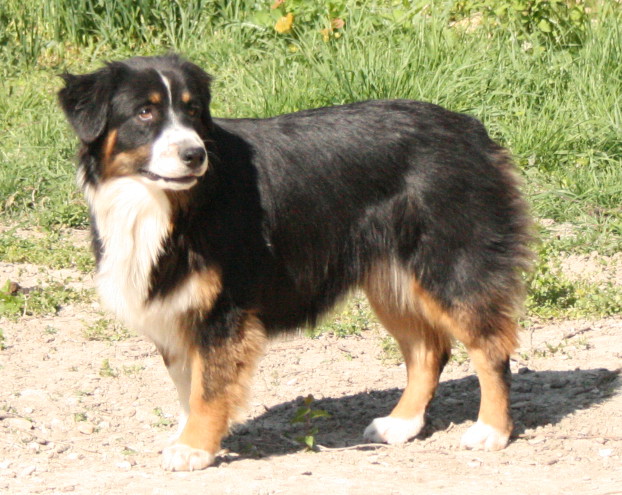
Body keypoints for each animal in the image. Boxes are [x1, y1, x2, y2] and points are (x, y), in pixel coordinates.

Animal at [58, 54, 532, 472]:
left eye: (193, 112)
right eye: (144, 112)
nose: (195, 155)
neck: (169, 205)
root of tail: (472, 130)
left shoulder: (224, 309)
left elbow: (208, 388)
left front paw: (194, 448)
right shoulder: (177, 305)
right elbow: (186, 384)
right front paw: (188, 437)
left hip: (452, 266)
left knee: (490, 346)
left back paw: (491, 430)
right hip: (389, 278)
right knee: (427, 349)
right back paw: (401, 423)